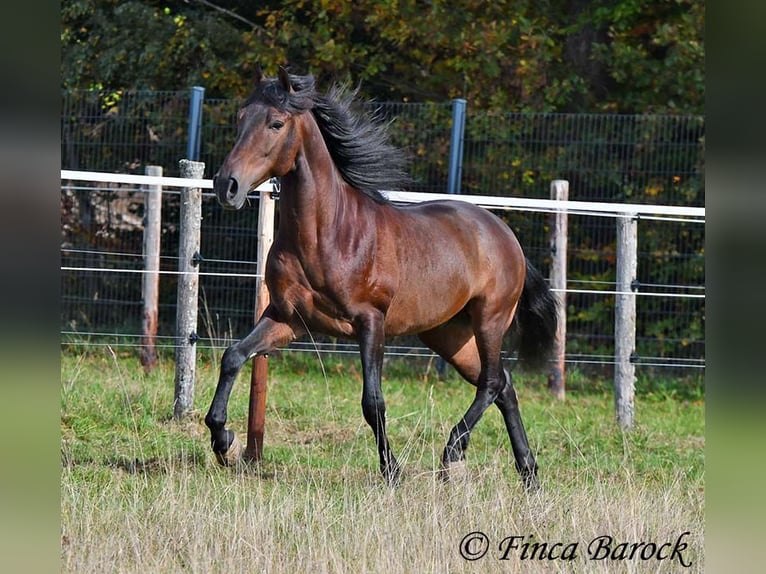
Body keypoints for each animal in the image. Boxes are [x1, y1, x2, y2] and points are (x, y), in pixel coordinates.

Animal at [204, 66, 558, 489]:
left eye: (276, 123)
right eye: (240, 118)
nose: (226, 185)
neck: (328, 234)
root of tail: (504, 233)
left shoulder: (370, 321)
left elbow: (373, 402)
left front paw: (392, 471)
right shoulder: (288, 319)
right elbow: (233, 356)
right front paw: (224, 441)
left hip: (490, 319)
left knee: (491, 382)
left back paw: (453, 454)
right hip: (448, 335)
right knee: (504, 386)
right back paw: (529, 474)